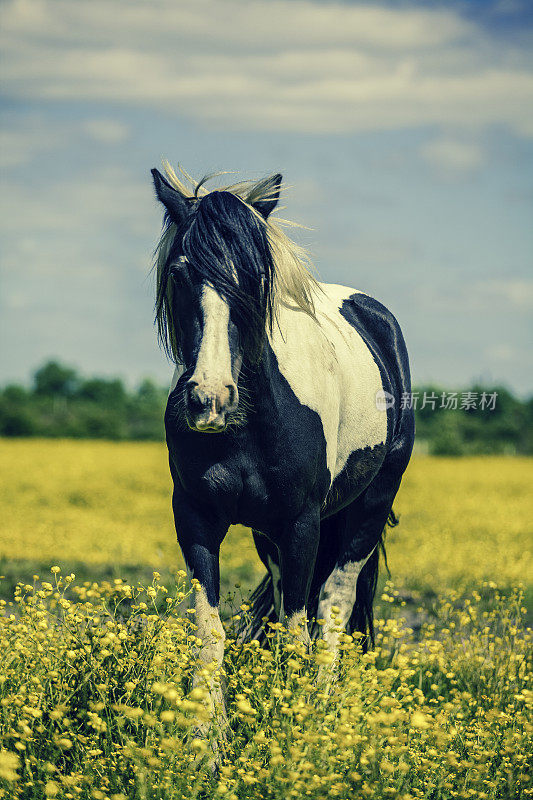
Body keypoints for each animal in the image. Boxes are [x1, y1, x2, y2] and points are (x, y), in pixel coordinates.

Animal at [151, 162, 416, 724]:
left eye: (255, 279)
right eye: (180, 273)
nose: (210, 399)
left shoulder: (301, 523)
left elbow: (299, 628)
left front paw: (292, 729)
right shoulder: (195, 517)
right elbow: (210, 630)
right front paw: (206, 736)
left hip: (370, 504)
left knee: (334, 601)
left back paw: (323, 706)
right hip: (267, 533)